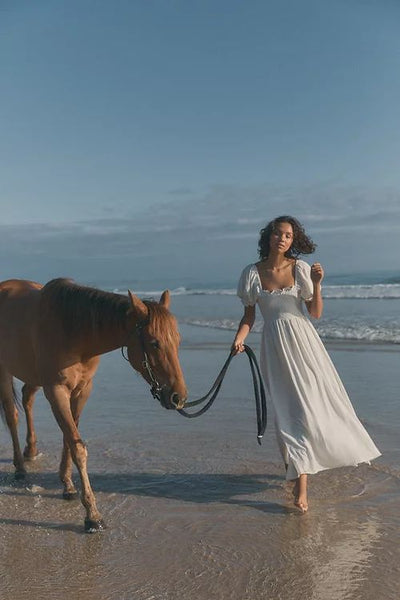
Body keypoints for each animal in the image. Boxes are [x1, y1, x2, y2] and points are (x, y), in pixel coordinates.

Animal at [0, 276, 188, 528]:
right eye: (154, 343)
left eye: (177, 340)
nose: (179, 397)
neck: (72, 331)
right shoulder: (56, 390)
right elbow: (77, 446)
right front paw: (92, 515)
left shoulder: (82, 390)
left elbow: (69, 438)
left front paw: (68, 485)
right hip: (5, 371)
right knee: (12, 415)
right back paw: (20, 467)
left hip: (32, 374)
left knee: (27, 398)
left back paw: (31, 450)